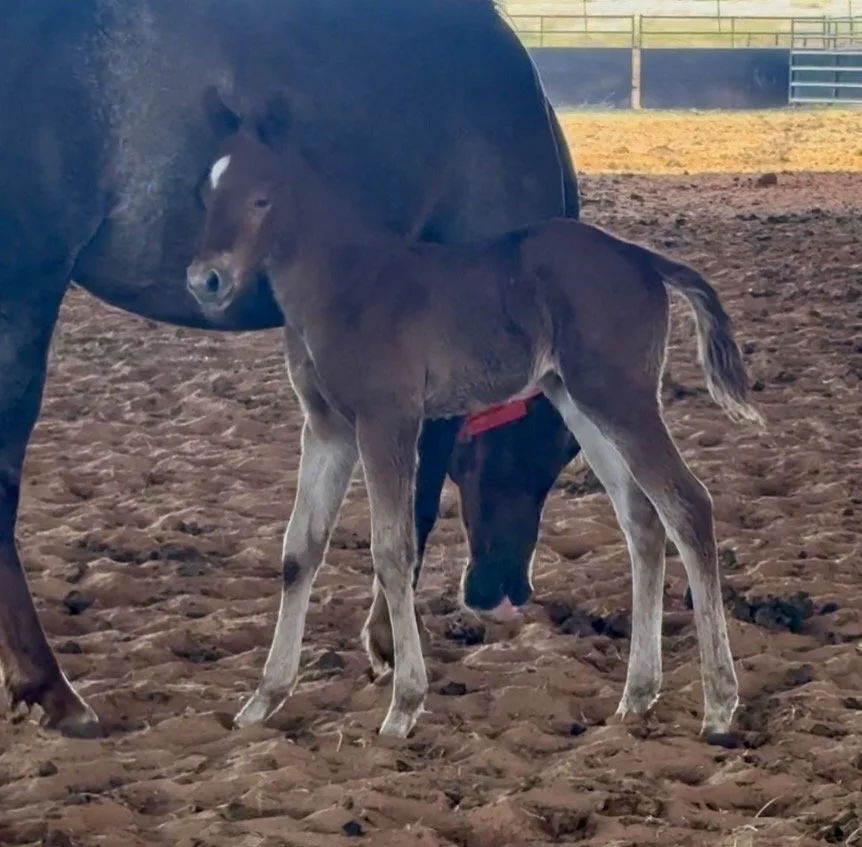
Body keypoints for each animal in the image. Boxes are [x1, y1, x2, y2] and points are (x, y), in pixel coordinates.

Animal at [186, 97, 764, 739]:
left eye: (262, 198)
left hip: (622, 397)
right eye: (206, 193)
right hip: (580, 402)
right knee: (641, 519)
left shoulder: (386, 419)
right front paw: (264, 699)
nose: (205, 280)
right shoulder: (327, 428)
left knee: (688, 507)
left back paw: (719, 705)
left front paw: (404, 705)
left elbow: (393, 550)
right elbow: (299, 551)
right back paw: (637, 694)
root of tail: (639, 257)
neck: (345, 284)